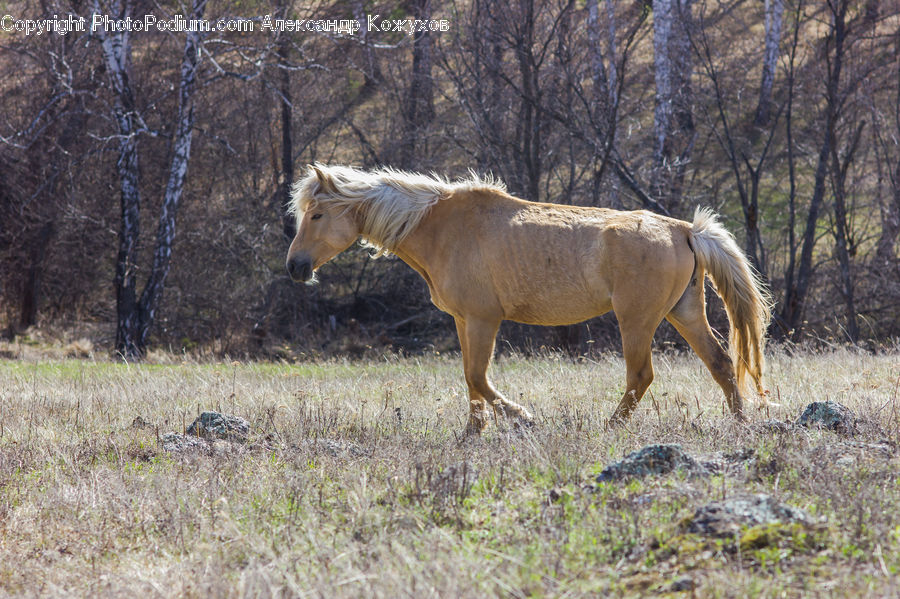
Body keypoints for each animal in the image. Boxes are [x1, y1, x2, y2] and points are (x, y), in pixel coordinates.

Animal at [285, 164, 772, 434]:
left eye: (318, 214)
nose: (295, 267)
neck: (440, 228)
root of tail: (686, 230)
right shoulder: (464, 321)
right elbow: (471, 380)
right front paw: (472, 433)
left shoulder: (484, 319)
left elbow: (479, 378)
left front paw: (523, 418)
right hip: (683, 313)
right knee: (721, 363)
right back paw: (740, 424)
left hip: (637, 321)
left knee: (641, 376)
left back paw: (609, 427)